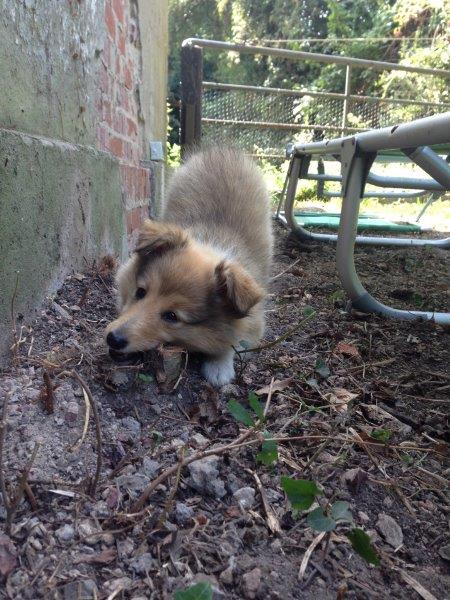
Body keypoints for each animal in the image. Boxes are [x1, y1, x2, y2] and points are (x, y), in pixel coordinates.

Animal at [105, 147, 273, 386]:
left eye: (172, 316)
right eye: (140, 292)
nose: (113, 339)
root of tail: (222, 152)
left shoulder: (252, 327)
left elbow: (234, 342)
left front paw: (220, 365)